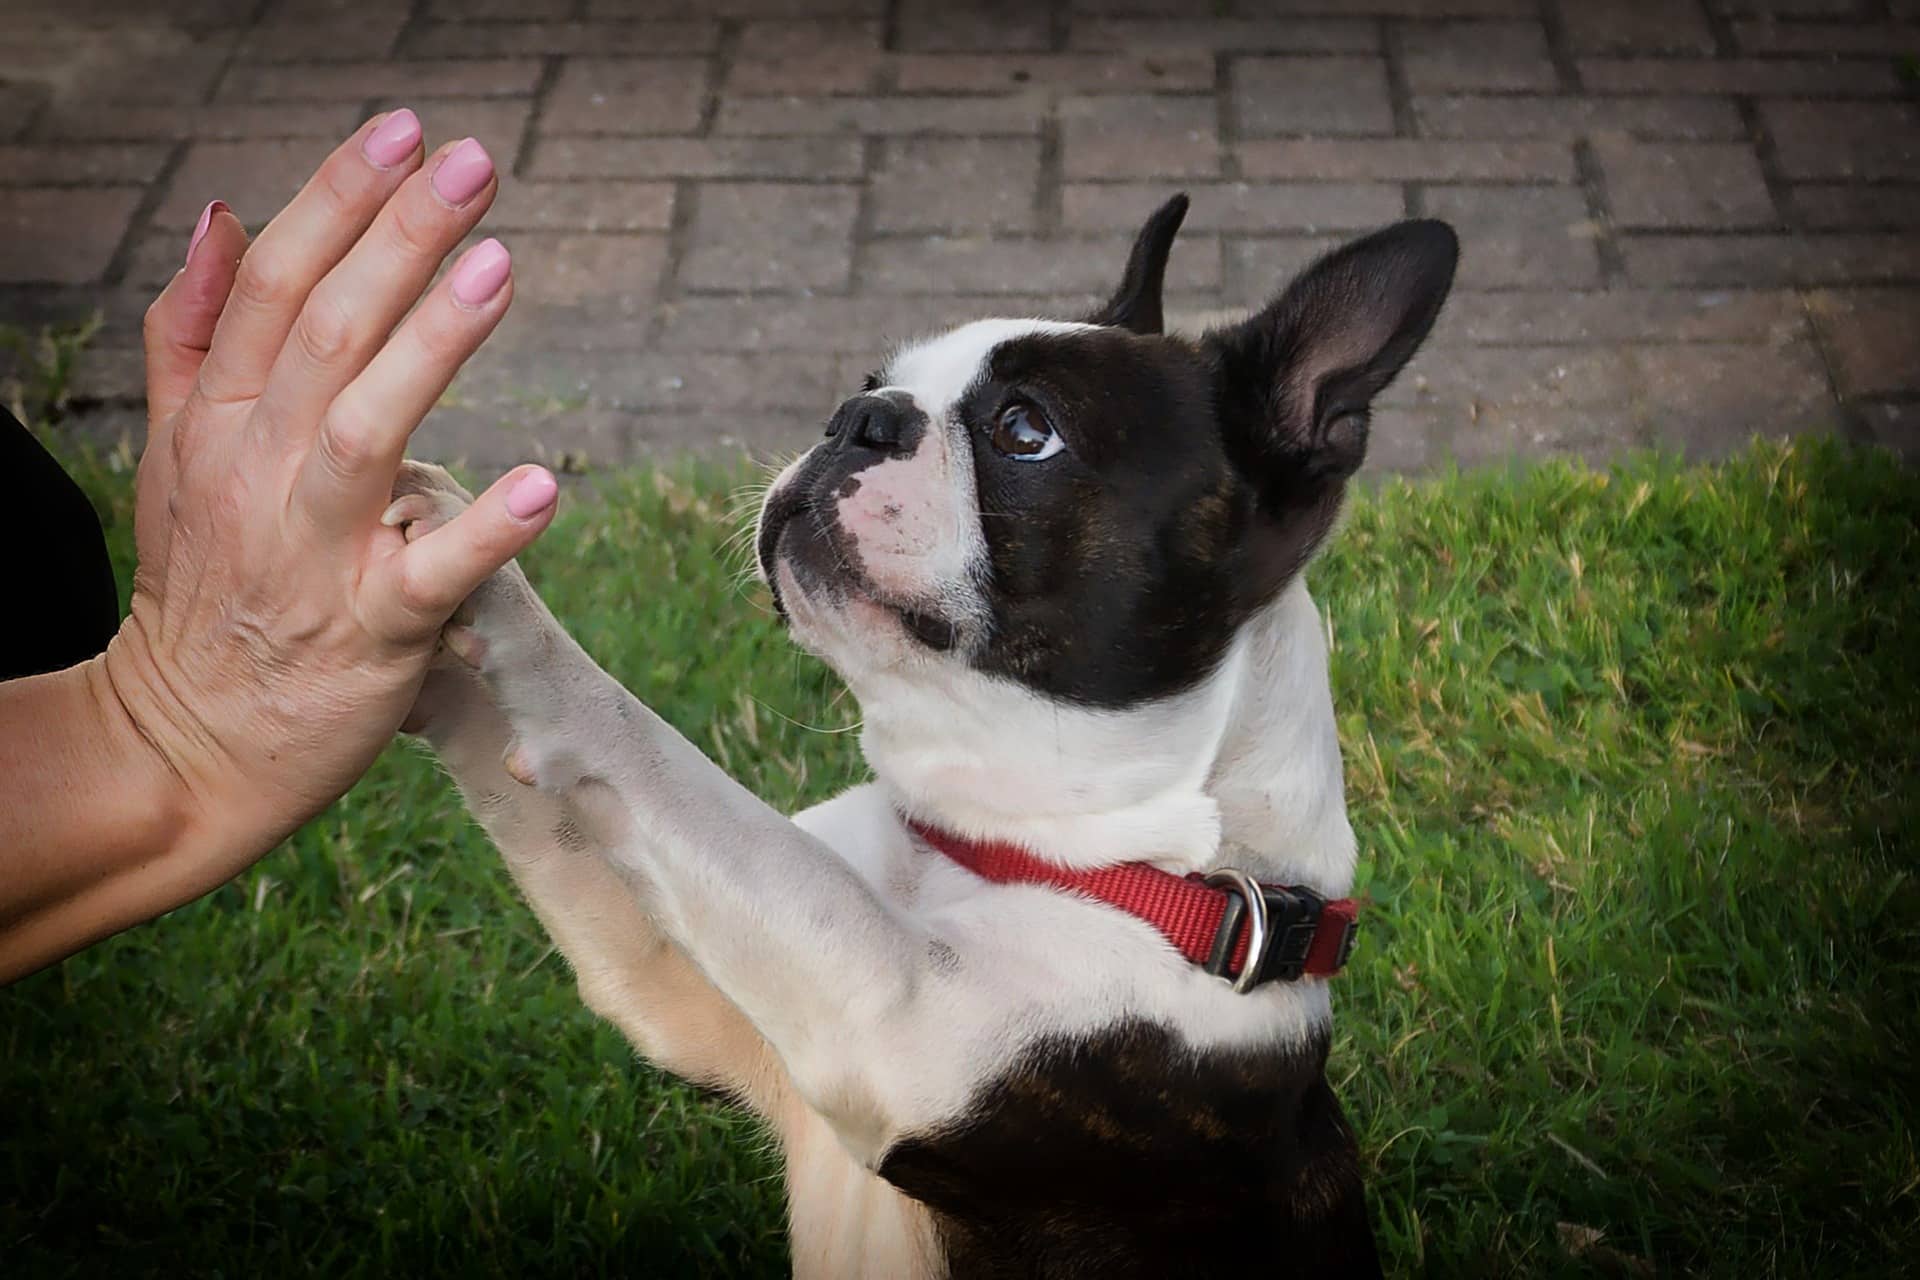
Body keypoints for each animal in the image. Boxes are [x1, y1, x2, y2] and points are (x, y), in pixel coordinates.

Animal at [397, 195, 1459, 1274]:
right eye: (874, 384)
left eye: (1025, 430)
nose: (857, 417)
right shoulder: (675, 987)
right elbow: (564, 809)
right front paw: (420, 591)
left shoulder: (892, 1015)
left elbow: (666, 762)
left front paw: (507, 615)